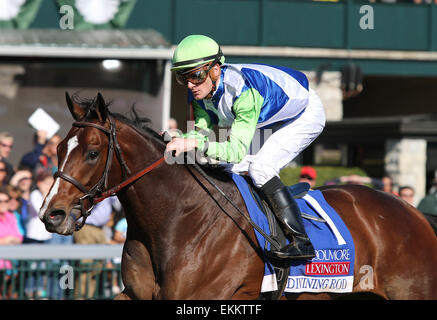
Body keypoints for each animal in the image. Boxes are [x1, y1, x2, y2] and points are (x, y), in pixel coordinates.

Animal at [38, 93, 436, 300]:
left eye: (92, 152)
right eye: (57, 149)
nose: (51, 214)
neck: (179, 220)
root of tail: (414, 213)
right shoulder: (136, 295)